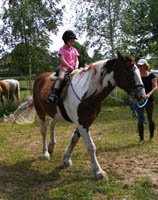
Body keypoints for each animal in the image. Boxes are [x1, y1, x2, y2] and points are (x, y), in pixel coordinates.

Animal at [25, 51, 146, 180]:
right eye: (129, 72)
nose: (142, 97)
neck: (87, 94)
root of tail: (39, 78)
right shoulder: (82, 122)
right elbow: (90, 146)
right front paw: (98, 171)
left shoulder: (85, 121)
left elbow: (74, 139)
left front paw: (66, 159)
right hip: (40, 112)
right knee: (43, 130)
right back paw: (45, 153)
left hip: (56, 114)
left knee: (52, 124)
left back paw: (51, 146)